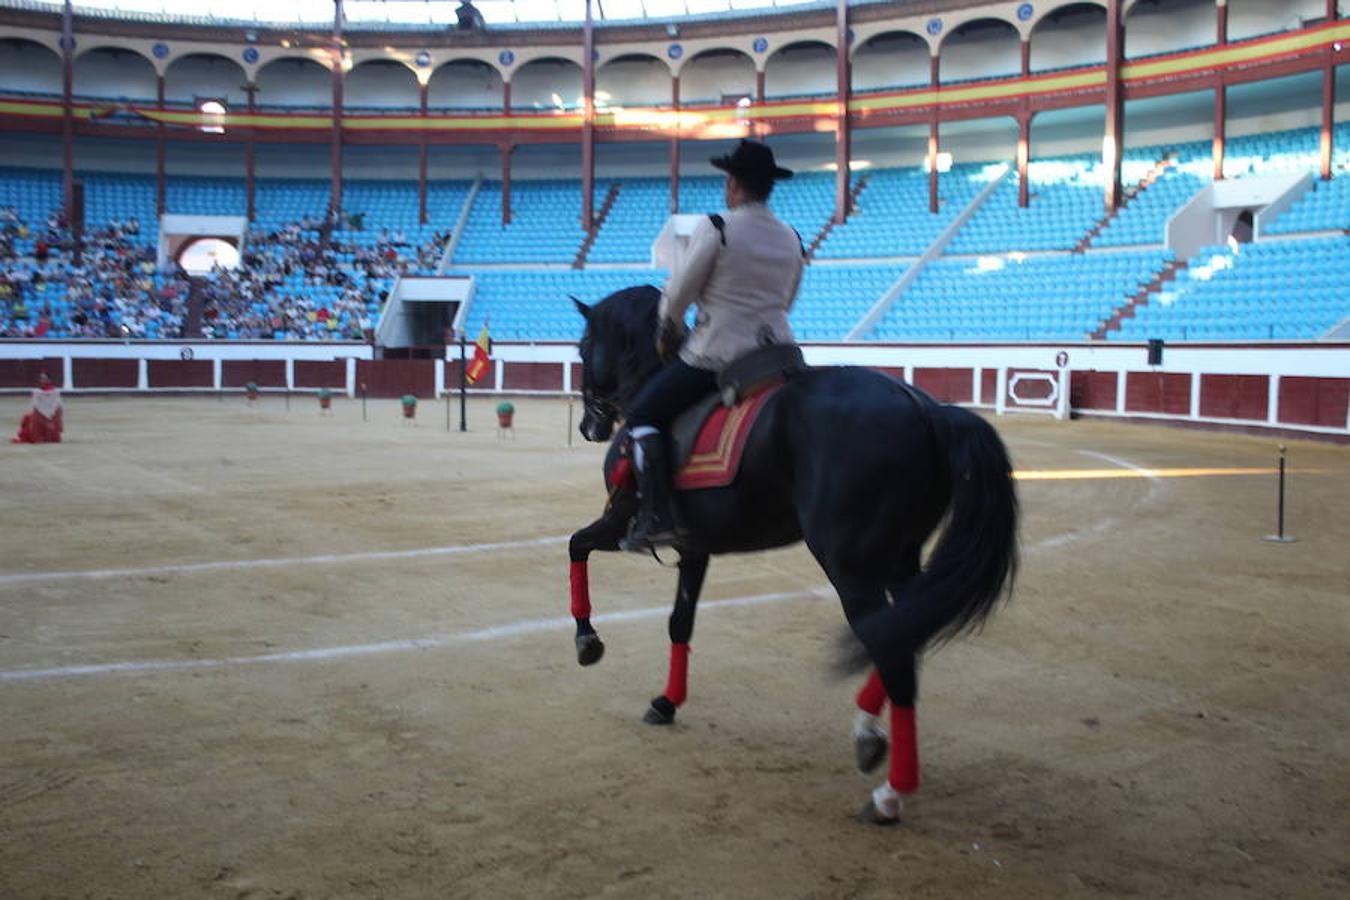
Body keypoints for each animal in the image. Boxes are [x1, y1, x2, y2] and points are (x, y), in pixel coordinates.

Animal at [565, 284, 1019, 823]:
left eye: (582, 347)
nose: (590, 425)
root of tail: (926, 407)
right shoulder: (694, 548)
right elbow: (680, 623)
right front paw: (666, 702)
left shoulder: (619, 524)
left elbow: (575, 546)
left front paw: (588, 642)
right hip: (903, 561)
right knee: (905, 633)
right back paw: (869, 731)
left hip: (851, 569)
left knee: (891, 648)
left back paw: (888, 794)